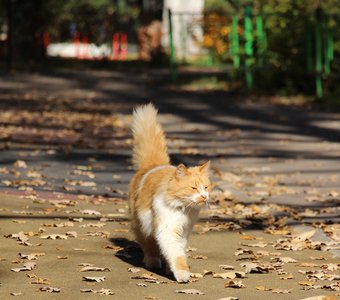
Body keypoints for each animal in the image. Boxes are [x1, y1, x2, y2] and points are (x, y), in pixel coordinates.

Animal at [129, 102, 211, 282]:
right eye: (194, 188)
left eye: (206, 187)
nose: (204, 196)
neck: (182, 209)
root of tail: (153, 165)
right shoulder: (167, 231)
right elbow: (176, 255)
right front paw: (181, 273)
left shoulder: (183, 232)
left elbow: (177, 252)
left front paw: (170, 269)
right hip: (143, 224)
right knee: (149, 245)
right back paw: (152, 262)